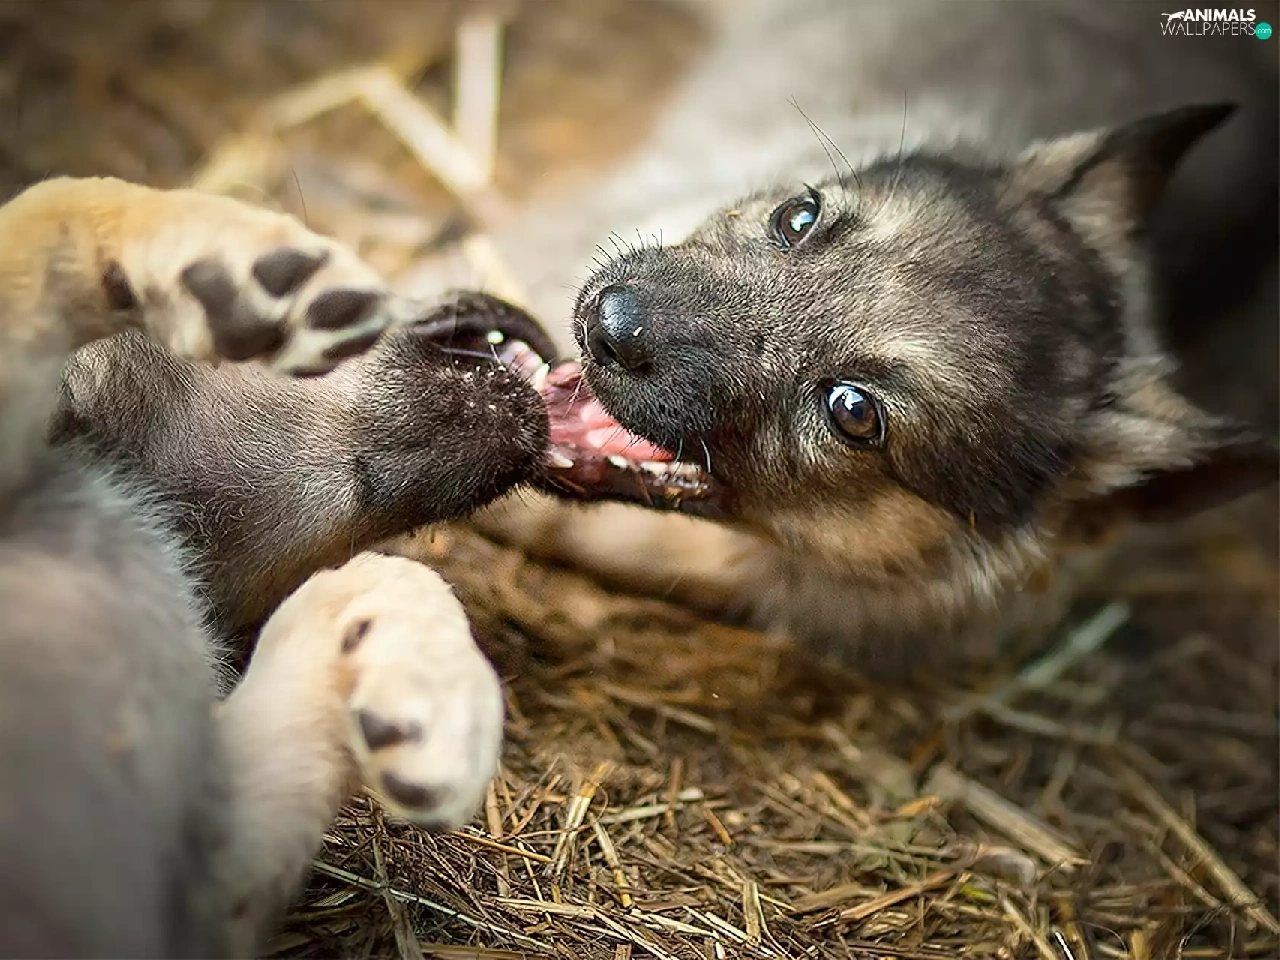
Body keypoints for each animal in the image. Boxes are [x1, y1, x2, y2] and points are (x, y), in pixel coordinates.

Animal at [0, 175, 560, 956]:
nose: (519, 309)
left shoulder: (206, 883)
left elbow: (388, 580)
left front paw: (434, 699)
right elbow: (53, 203)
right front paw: (224, 248)